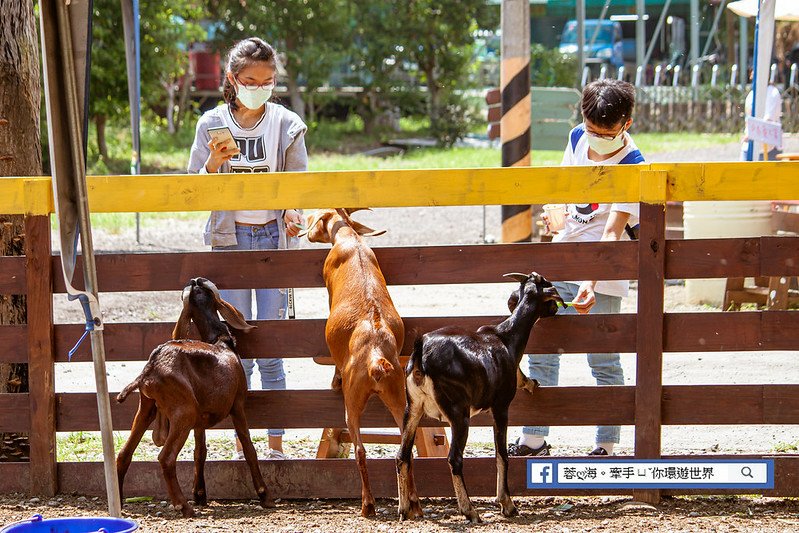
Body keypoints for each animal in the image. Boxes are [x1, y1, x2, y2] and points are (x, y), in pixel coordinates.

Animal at [114, 278, 274, 516]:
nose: (195, 280)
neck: (219, 340)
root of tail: (150, 369)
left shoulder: (200, 418)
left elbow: (200, 451)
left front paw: (200, 494)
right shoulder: (237, 405)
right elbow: (248, 447)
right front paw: (264, 495)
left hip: (147, 407)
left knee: (123, 454)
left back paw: (118, 502)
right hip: (184, 413)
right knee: (165, 458)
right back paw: (184, 506)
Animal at [302, 208, 422, 516]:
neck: (351, 240)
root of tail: (376, 359)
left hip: (353, 402)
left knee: (360, 450)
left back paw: (368, 505)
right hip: (399, 400)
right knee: (406, 450)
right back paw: (414, 505)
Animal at [396, 272, 564, 520]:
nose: (556, 310)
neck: (505, 338)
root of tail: (421, 352)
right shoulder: (501, 406)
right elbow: (501, 453)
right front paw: (507, 503)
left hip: (413, 407)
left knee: (402, 455)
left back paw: (405, 509)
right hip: (458, 412)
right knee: (454, 458)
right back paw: (470, 510)